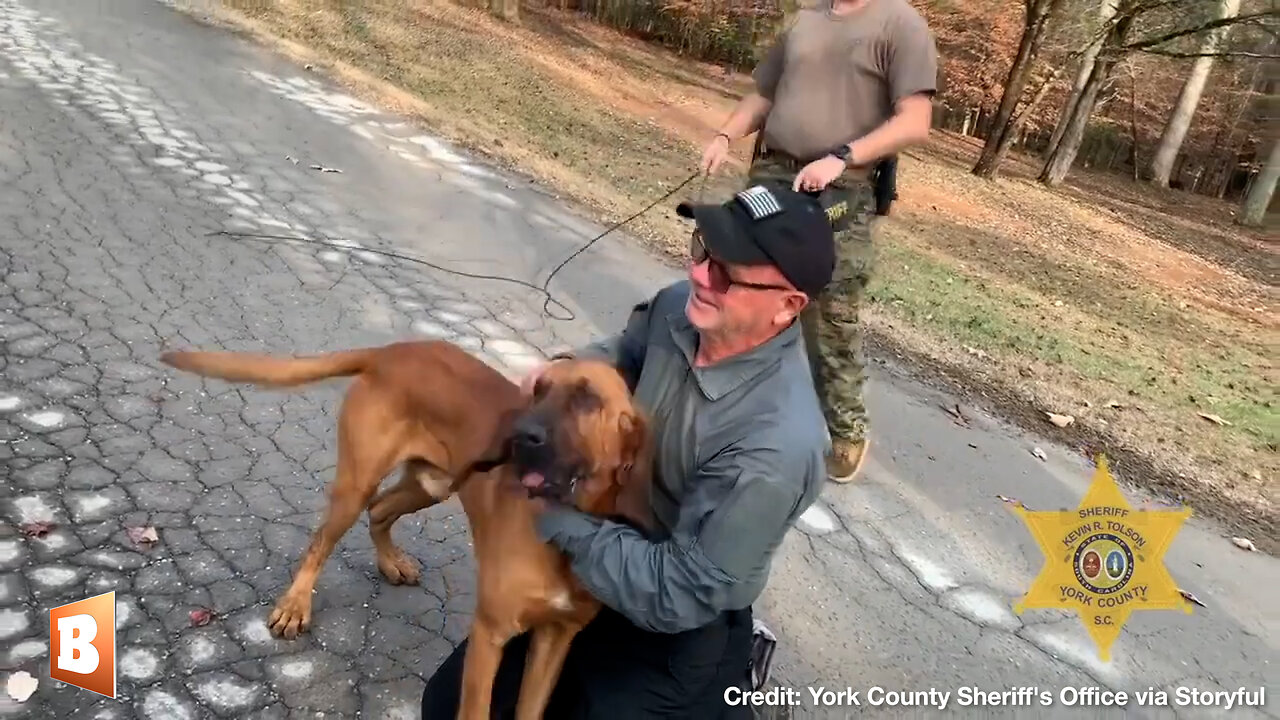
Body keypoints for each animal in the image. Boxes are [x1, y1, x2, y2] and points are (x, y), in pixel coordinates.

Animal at [160, 338, 655, 717]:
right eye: (539, 391)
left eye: (587, 399)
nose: (517, 435)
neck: (571, 529)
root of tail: (391, 349)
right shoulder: (490, 634)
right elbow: (475, 710)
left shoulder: (556, 640)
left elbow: (532, 708)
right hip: (359, 480)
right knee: (324, 539)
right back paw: (295, 605)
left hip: (429, 484)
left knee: (380, 511)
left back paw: (390, 562)